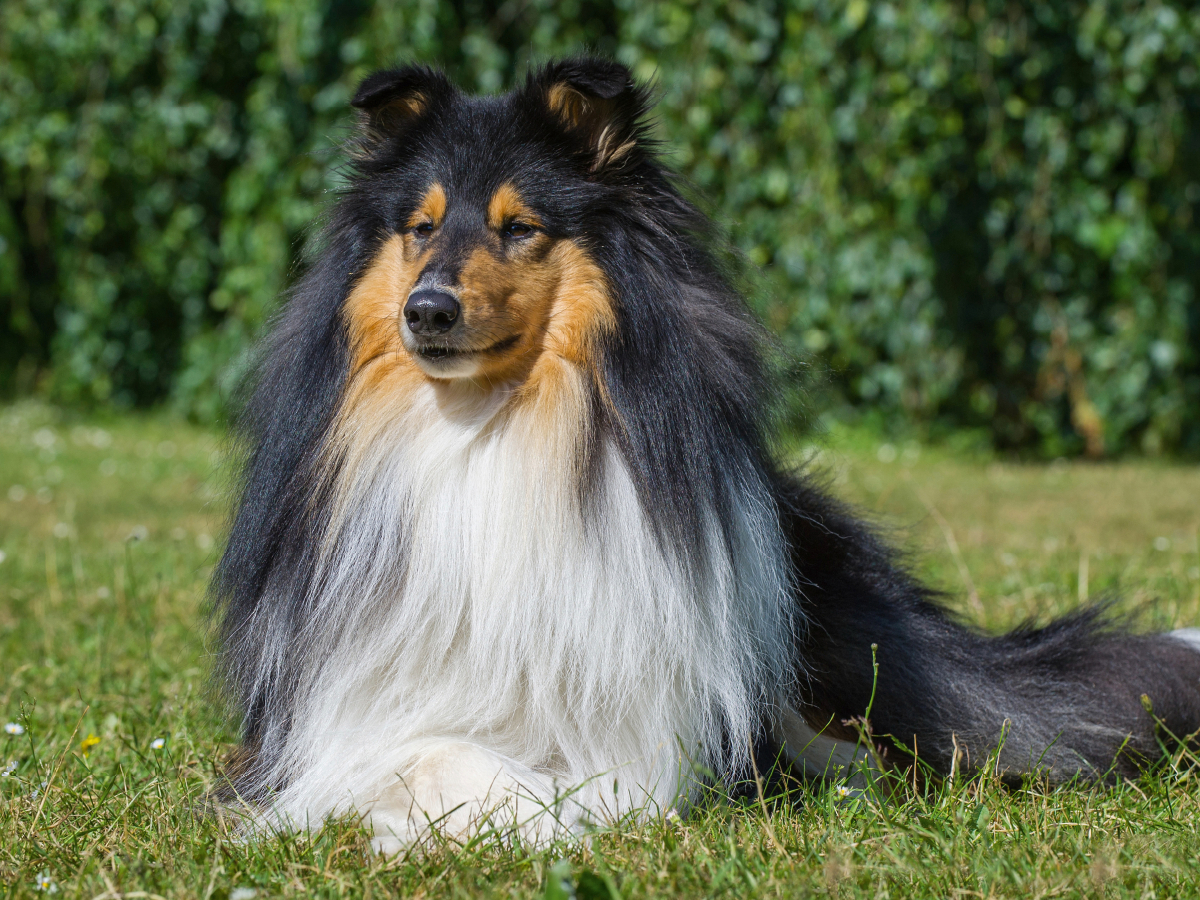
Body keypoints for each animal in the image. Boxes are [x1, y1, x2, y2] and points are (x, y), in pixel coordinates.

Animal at [213, 58, 1200, 854]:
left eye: (520, 227)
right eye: (419, 227)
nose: (427, 311)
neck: (489, 429)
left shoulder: (648, 717)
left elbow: (601, 778)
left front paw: (537, 815)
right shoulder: (326, 722)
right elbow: (417, 753)